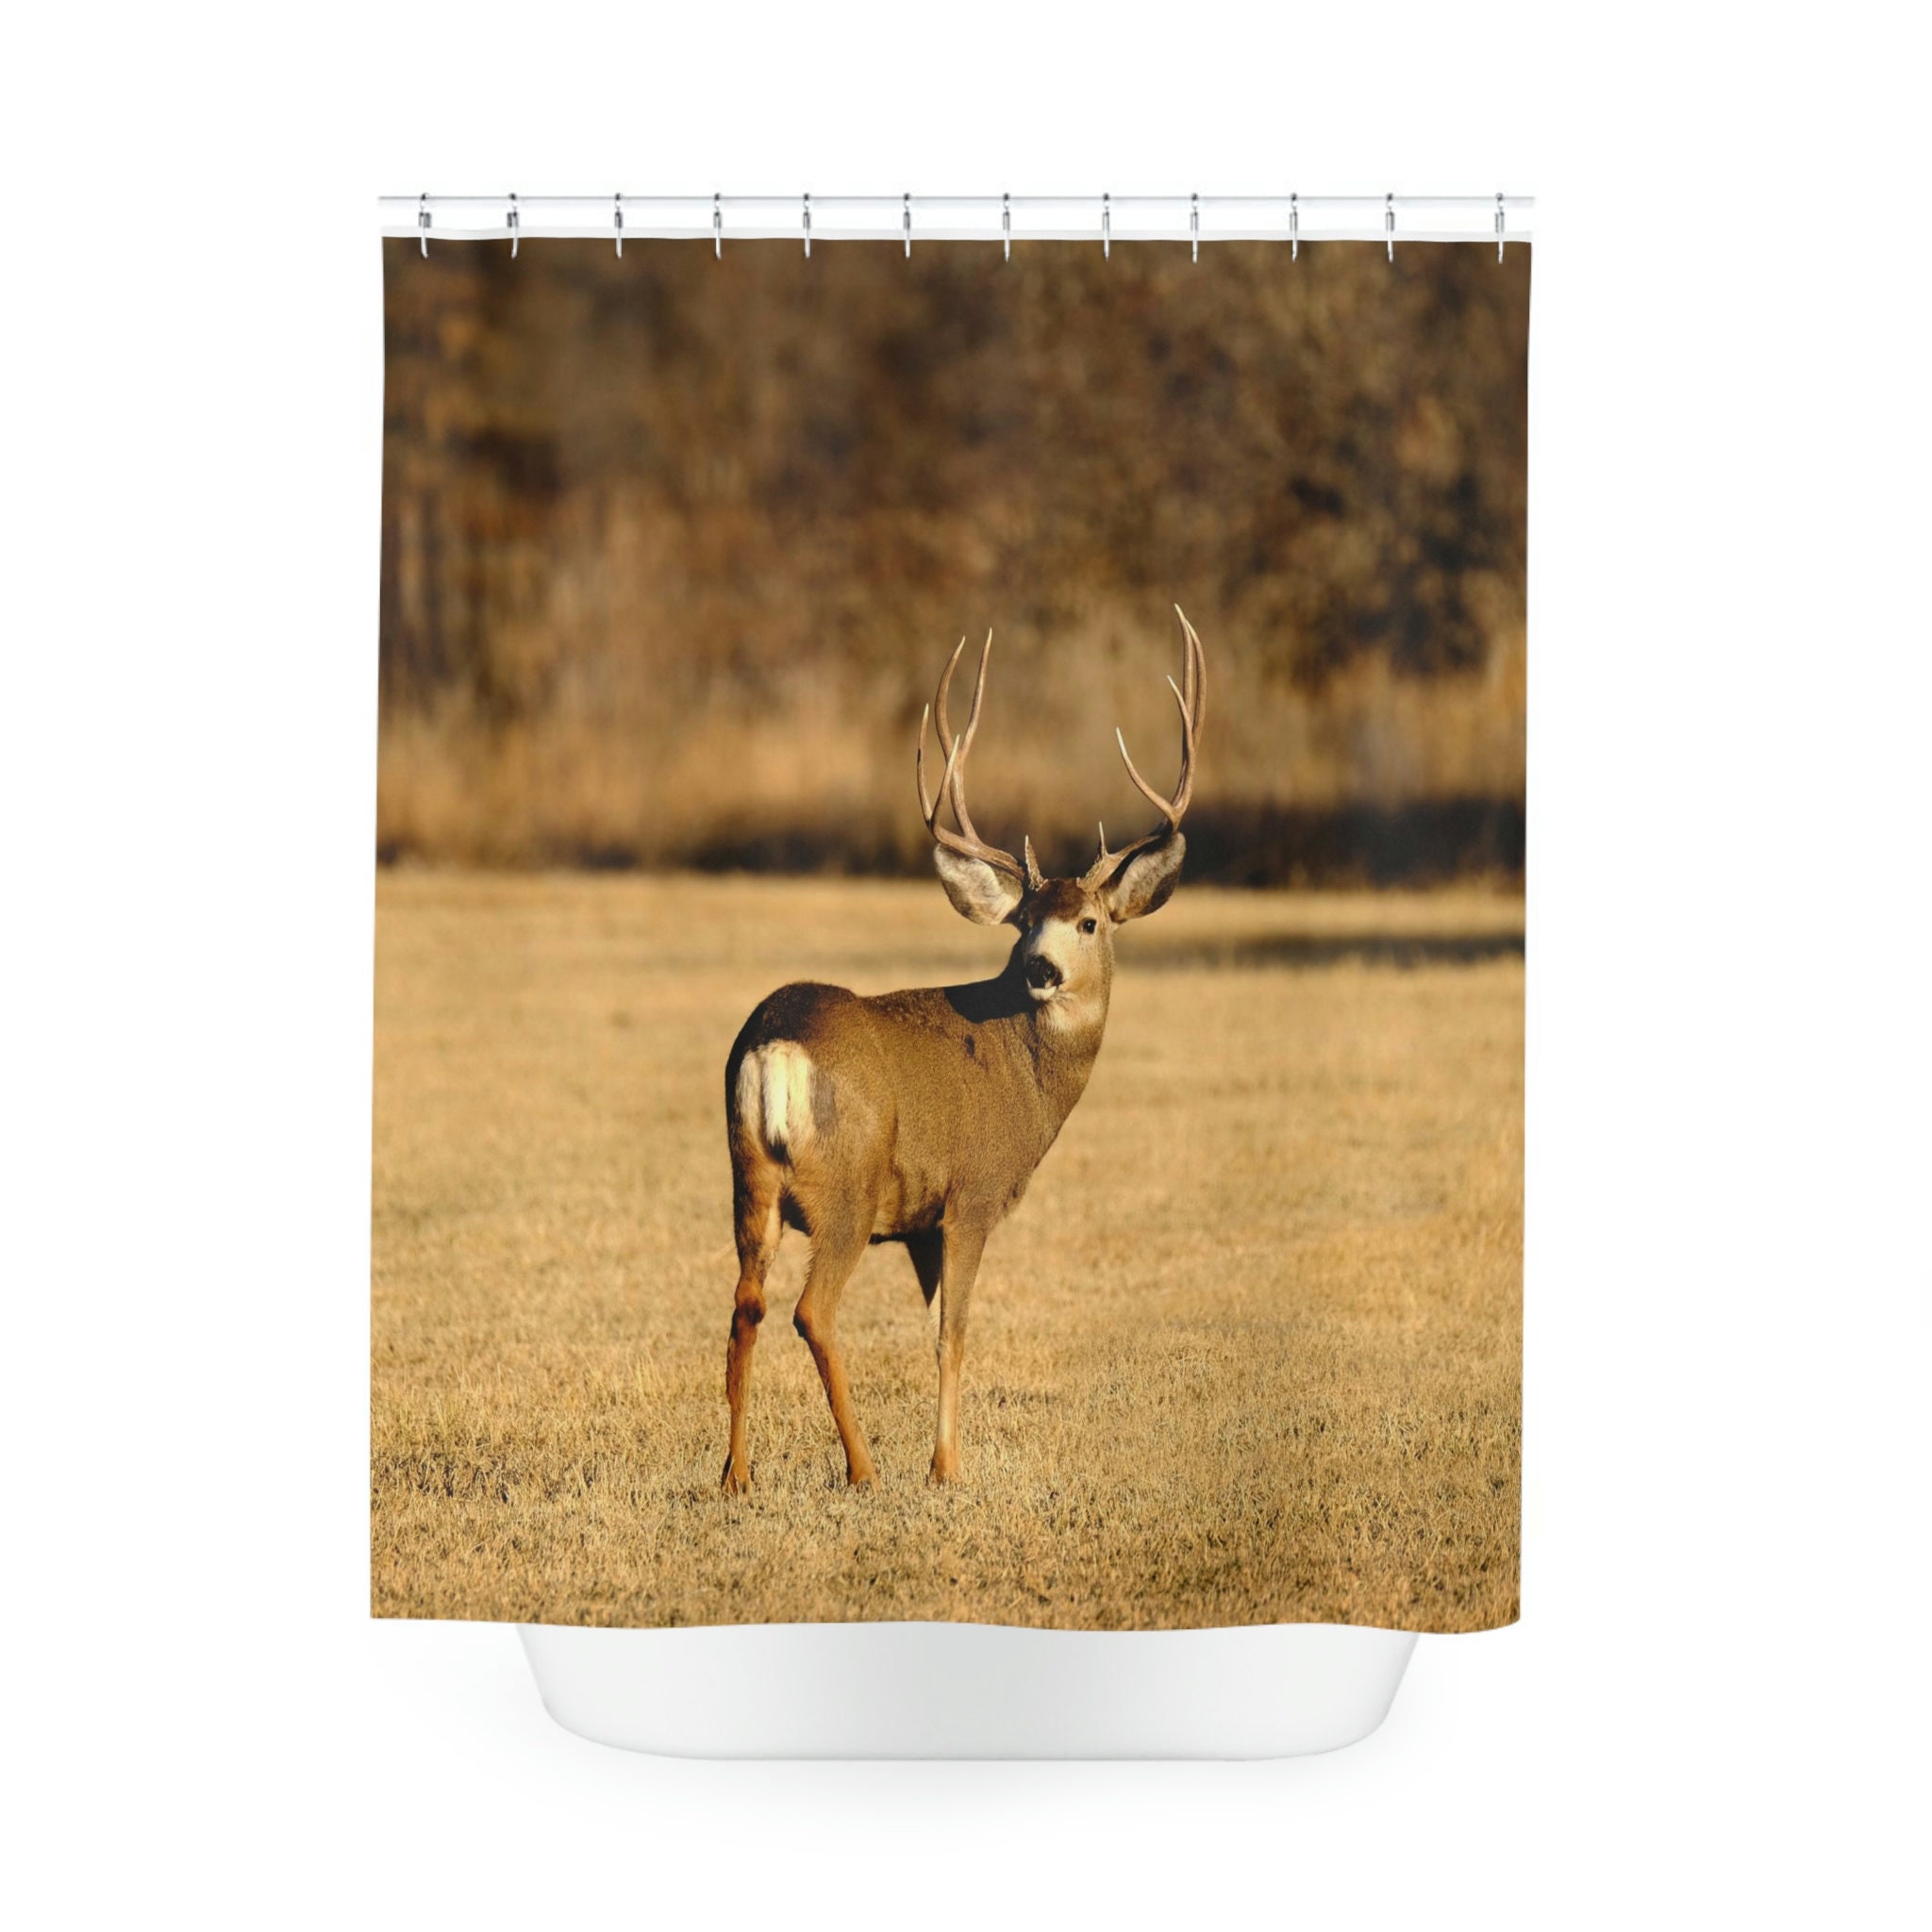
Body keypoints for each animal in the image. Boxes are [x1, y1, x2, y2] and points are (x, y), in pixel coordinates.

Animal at [719, 610, 1205, 1491]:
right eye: (1025, 924)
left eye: (1089, 922)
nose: (1042, 969)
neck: (1027, 1077)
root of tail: (774, 1045)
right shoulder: (970, 1197)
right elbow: (954, 1334)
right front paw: (945, 1466)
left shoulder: (920, 1223)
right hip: (846, 1189)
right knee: (812, 1312)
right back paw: (863, 1468)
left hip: (749, 1180)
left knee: (746, 1306)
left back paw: (735, 1476)